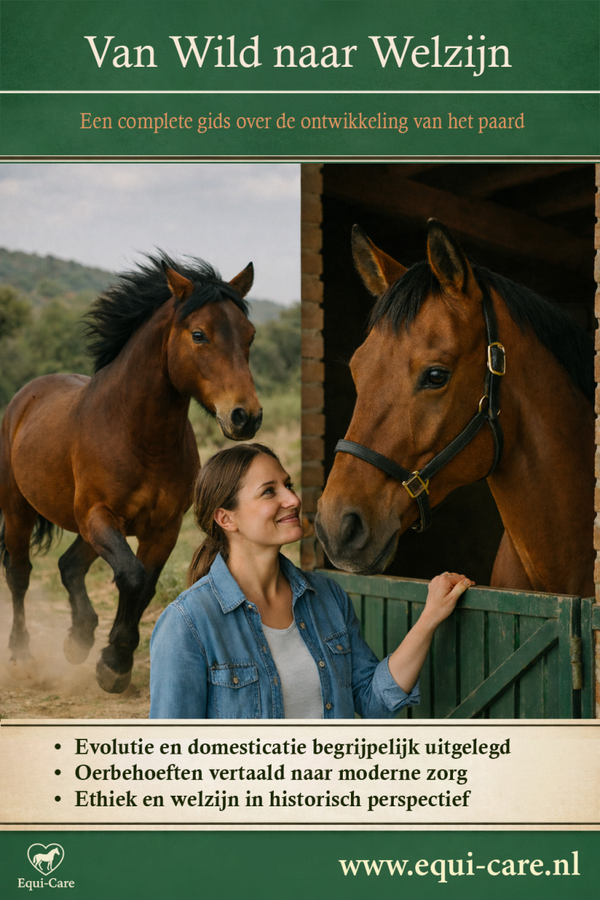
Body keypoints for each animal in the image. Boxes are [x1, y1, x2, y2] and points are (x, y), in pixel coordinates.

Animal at [0, 253, 262, 692]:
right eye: (199, 335)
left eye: (250, 336)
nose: (246, 416)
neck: (138, 436)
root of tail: (25, 397)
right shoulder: (100, 515)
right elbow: (132, 577)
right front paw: (114, 662)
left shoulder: (163, 527)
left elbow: (145, 583)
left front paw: (112, 657)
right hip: (21, 511)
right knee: (20, 574)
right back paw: (23, 655)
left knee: (69, 565)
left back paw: (78, 639)